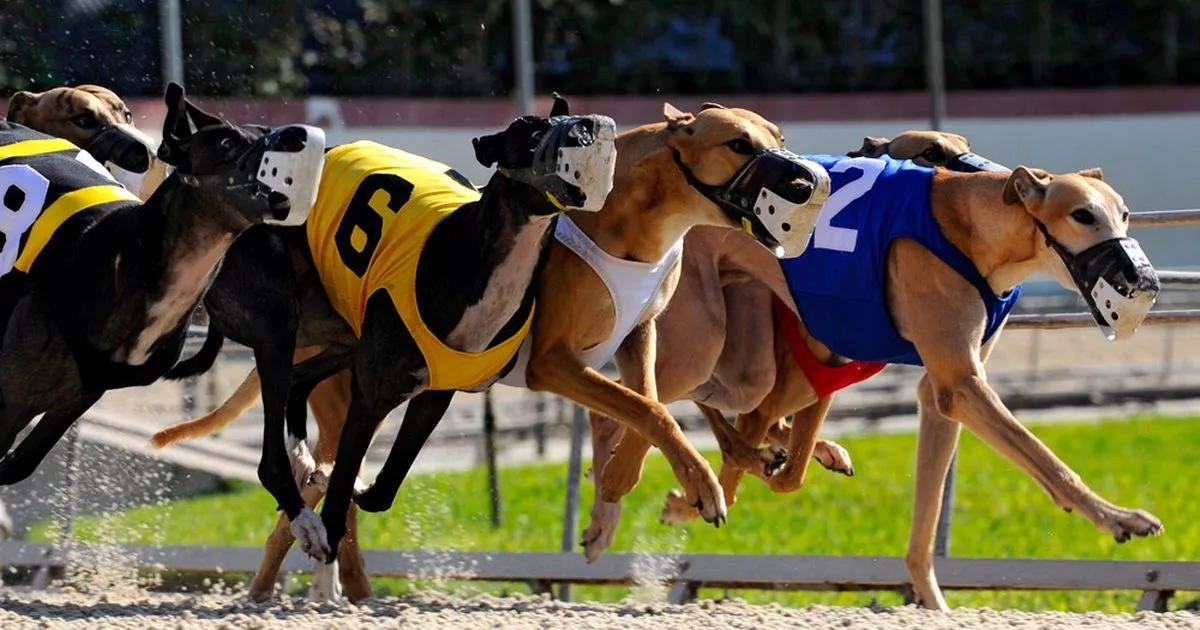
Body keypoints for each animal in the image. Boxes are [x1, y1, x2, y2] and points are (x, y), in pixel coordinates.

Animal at [600, 137, 1161, 609]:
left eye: (1124, 214)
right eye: (1083, 214)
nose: (1142, 277)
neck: (973, 226)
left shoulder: (941, 391)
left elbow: (924, 521)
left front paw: (933, 602)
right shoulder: (962, 384)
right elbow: (1045, 458)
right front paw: (1121, 518)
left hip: (742, 357)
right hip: (702, 343)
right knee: (634, 398)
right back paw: (617, 502)